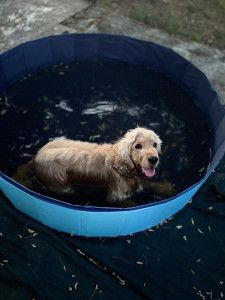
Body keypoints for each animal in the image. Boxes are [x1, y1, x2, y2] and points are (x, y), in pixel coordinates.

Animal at [11, 127, 175, 203]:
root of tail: (34, 160)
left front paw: (168, 189)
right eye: (138, 146)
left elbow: (151, 184)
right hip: (60, 184)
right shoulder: (116, 195)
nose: (153, 159)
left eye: (154, 144)